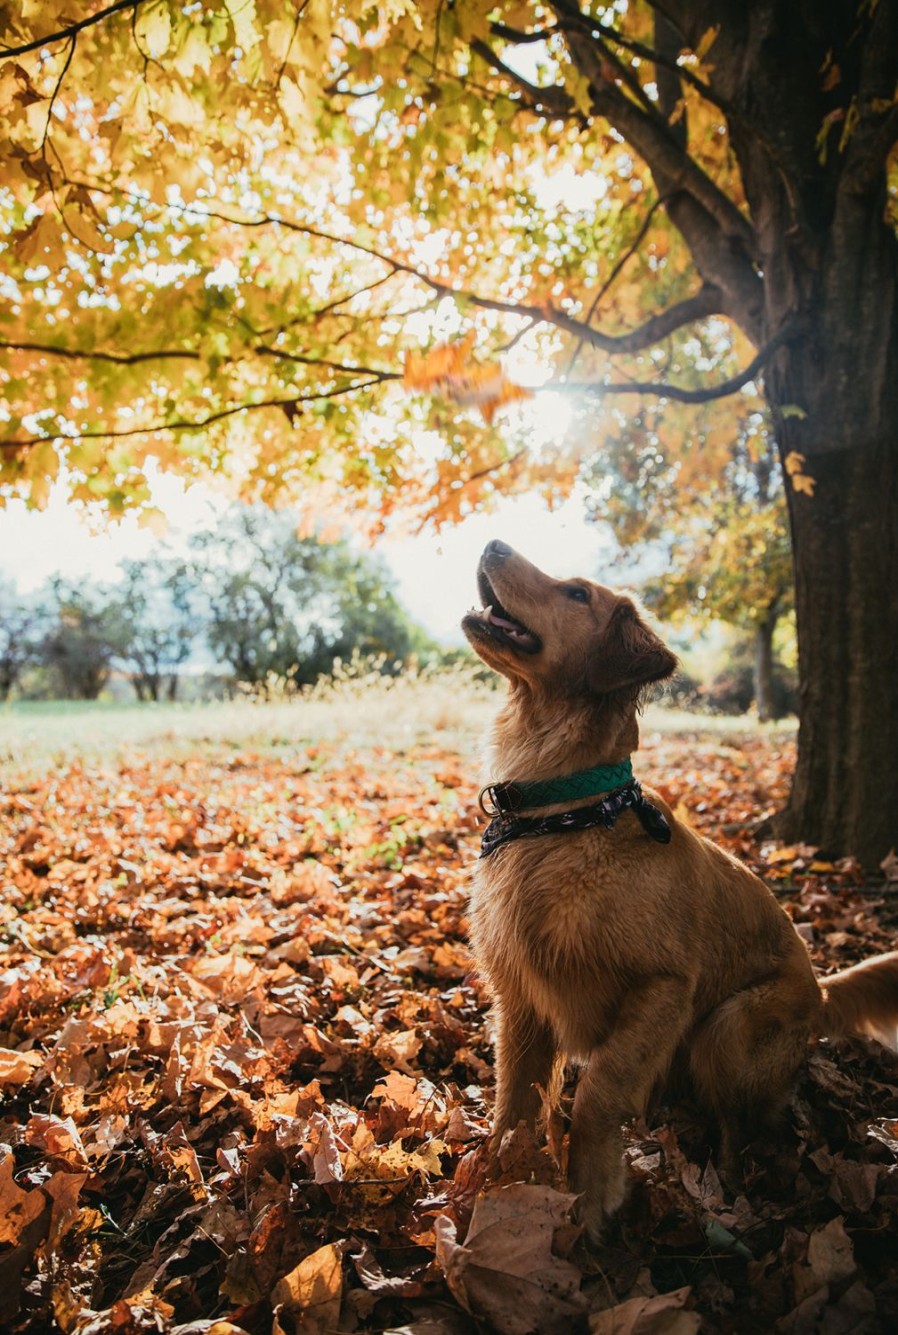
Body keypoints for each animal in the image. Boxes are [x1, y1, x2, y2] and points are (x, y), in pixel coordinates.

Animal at [461, 539, 896, 1238]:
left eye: (577, 593)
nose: (493, 543)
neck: (563, 812)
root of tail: (823, 990)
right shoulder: (519, 997)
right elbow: (513, 1100)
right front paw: (497, 1184)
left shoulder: (665, 987)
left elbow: (600, 1090)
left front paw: (593, 1192)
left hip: (730, 1025)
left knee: (745, 1126)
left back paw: (729, 1183)